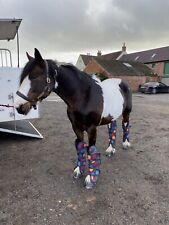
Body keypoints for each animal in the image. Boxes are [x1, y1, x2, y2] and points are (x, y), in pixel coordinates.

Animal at [15, 48, 132, 189]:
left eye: (35, 76)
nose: (19, 107)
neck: (84, 97)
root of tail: (122, 82)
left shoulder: (92, 128)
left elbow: (90, 150)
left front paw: (91, 179)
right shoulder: (76, 126)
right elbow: (80, 146)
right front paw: (79, 170)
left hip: (126, 113)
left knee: (125, 125)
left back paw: (125, 144)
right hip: (112, 115)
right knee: (112, 129)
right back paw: (110, 149)